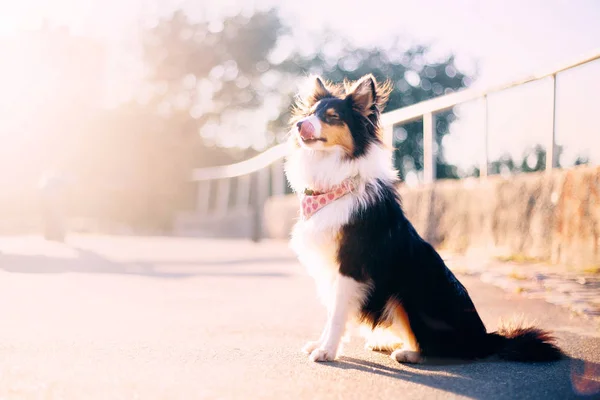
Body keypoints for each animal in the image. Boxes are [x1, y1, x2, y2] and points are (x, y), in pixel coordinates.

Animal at [282, 73, 564, 364]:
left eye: (333, 116)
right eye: (309, 114)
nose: (299, 125)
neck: (335, 184)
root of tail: (485, 339)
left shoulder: (350, 266)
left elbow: (338, 314)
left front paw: (327, 350)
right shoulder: (331, 269)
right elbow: (331, 312)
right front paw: (321, 343)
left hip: (405, 294)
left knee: (438, 349)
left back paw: (406, 352)